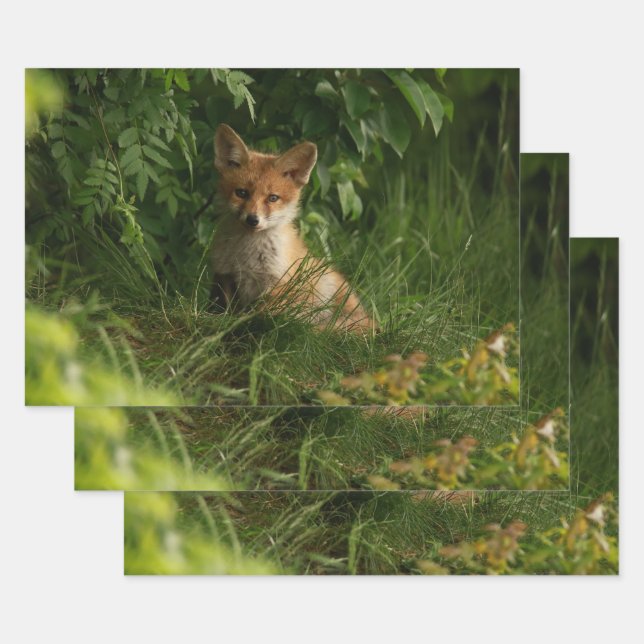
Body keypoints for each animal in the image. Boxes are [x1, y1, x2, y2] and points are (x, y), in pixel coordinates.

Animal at [210, 124, 373, 333]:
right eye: (241, 193)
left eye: (273, 198)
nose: (253, 220)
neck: (247, 255)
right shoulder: (225, 275)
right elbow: (227, 309)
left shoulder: (279, 283)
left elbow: (261, 314)